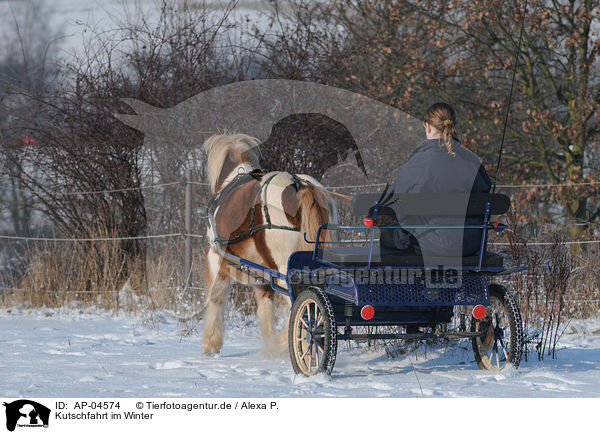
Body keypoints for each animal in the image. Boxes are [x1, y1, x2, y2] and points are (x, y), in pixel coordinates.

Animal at [199, 134, 336, 358]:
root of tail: (299, 184)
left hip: (286, 270)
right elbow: (265, 310)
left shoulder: (215, 262)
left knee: (300, 307)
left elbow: (216, 299)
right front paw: (269, 349)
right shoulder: (262, 277)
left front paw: (210, 344)